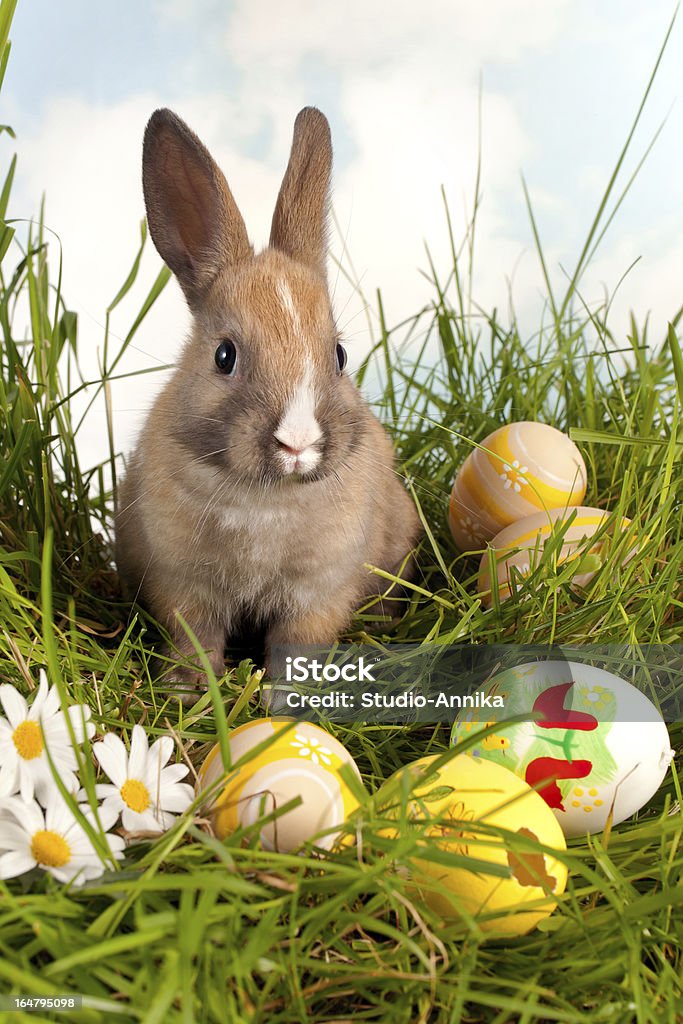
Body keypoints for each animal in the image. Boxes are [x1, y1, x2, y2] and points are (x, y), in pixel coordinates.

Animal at [114, 105, 419, 696]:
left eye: (339, 354)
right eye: (224, 356)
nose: (297, 443)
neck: (267, 499)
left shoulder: (319, 591)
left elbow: (296, 646)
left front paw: (287, 700)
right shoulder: (183, 586)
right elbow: (195, 642)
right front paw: (190, 694)